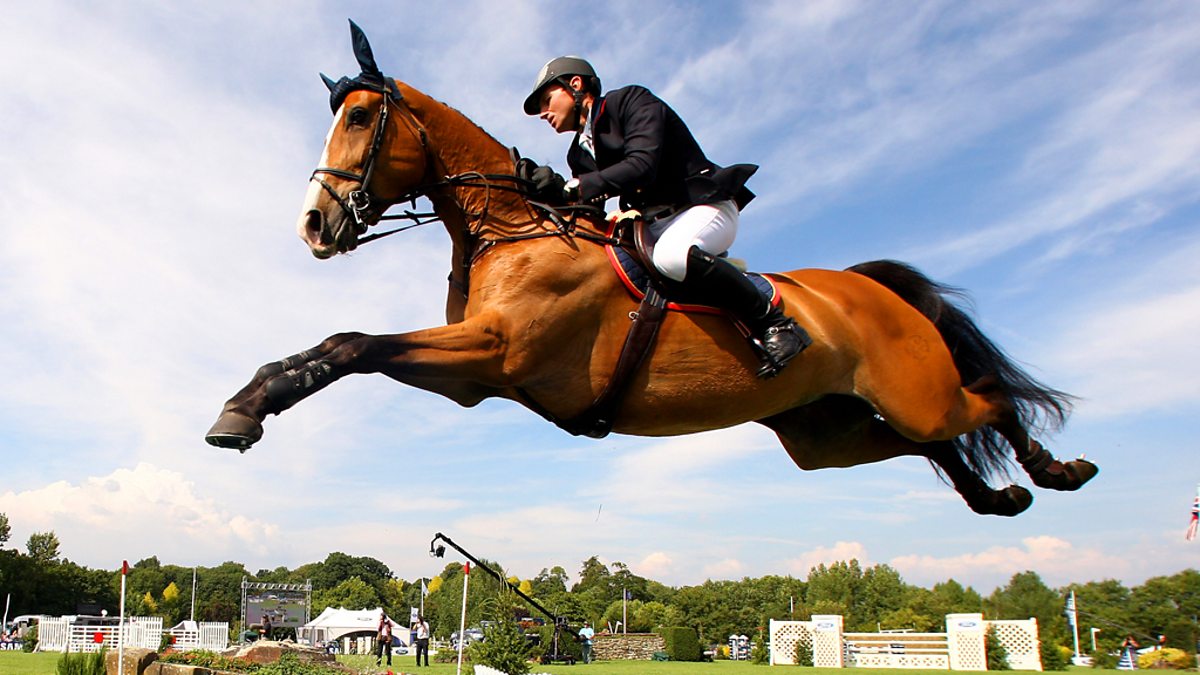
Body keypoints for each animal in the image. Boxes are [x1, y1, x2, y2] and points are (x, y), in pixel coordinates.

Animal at [206, 22, 1097, 516]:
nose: (313, 227)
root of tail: (867, 285)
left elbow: (352, 343)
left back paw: (1057, 469)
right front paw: (245, 402)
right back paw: (1000, 496)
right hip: (827, 432)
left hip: (915, 388)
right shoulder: (476, 373)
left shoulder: (498, 349)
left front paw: (246, 408)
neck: (511, 229)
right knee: (931, 446)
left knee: (990, 400)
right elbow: (351, 346)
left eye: (361, 117)